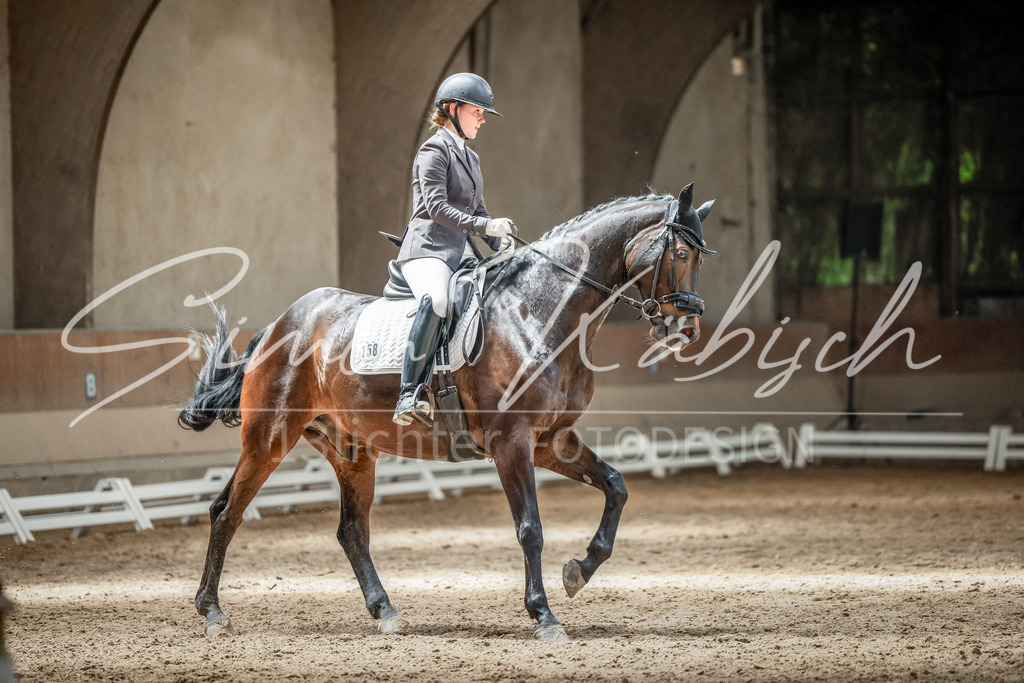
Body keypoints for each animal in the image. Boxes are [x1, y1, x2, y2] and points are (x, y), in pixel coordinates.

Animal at [178, 183, 715, 642]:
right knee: (227, 512)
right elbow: (530, 529)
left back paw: (386, 611)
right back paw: (212, 612)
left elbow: (616, 487)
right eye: (680, 253)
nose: (686, 329)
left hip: (352, 451)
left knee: (351, 531)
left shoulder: (552, 441)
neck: (539, 310)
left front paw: (578, 572)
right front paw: (543, 615)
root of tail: (279, 324)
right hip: (270, 436)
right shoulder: (511, 442)